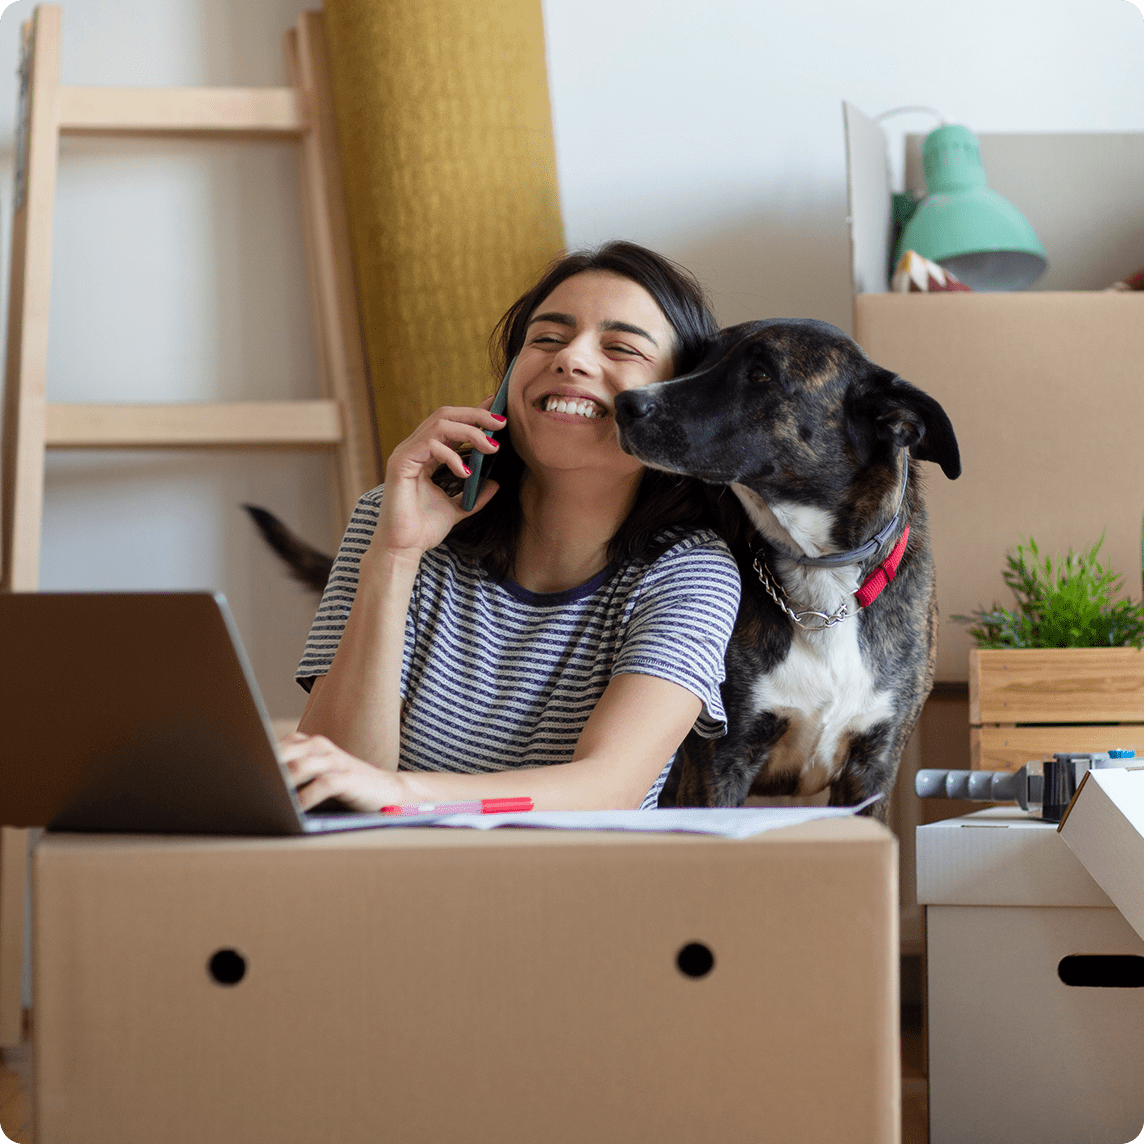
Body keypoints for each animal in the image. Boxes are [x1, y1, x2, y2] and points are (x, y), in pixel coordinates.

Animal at [613, 318, 960, 819]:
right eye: (700, 359)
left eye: (761, 375)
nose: (624, 402)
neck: (820, 575)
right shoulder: (718, 764)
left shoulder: (873, 769)